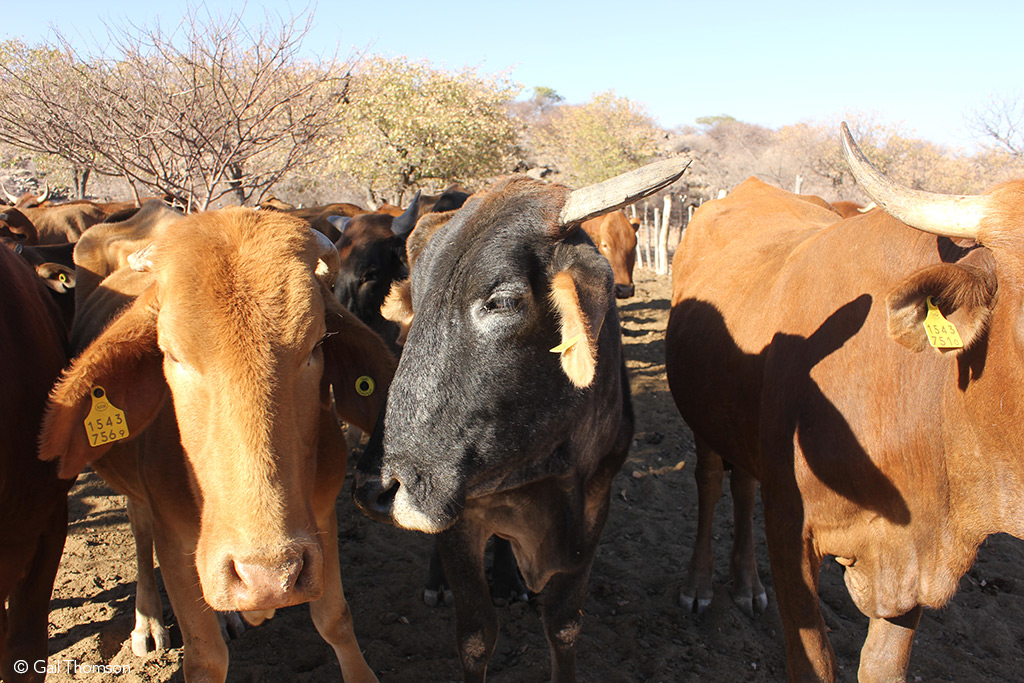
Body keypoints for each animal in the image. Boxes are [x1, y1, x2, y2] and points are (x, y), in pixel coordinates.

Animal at [39, 208, 391, 683]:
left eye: (317, 343)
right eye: (170, 352)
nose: (266, 577)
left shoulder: (322, 518)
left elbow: (335, 620)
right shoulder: (174, 541)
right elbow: (205, 657)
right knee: (139, 529)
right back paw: (148, 621)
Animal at [663, 124, 1024, 683]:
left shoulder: (911, 566)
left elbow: (881, 665)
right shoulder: (791, 531)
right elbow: (812, 659)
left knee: (743, 485)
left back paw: (746, 584)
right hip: (705, 420)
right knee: (710, 483)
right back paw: (699, 585)